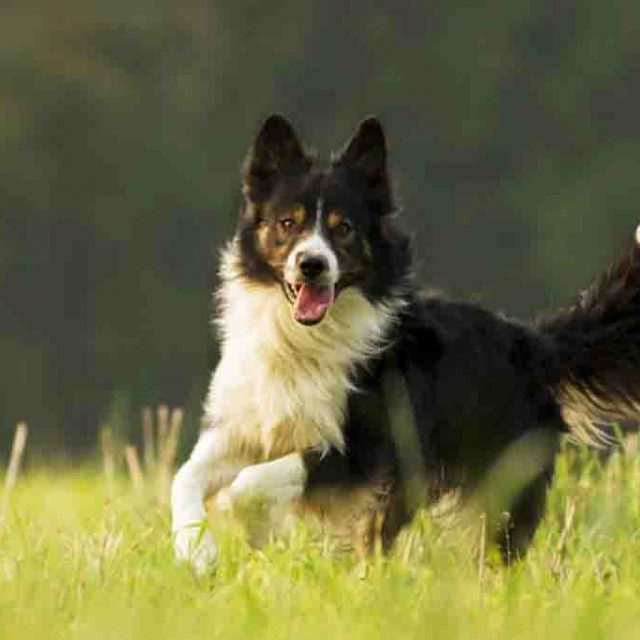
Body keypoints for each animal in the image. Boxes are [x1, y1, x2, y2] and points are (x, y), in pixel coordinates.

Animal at [170, 117, 640, 572]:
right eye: (289, 222)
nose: (312, 264)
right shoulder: (242, 427)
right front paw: (196, 551)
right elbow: (185, 476)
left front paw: (251, 529)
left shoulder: (362, 450)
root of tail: (533, 342)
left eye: (344, 229)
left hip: (494, 487)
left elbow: (247, 485)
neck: (302, 338)